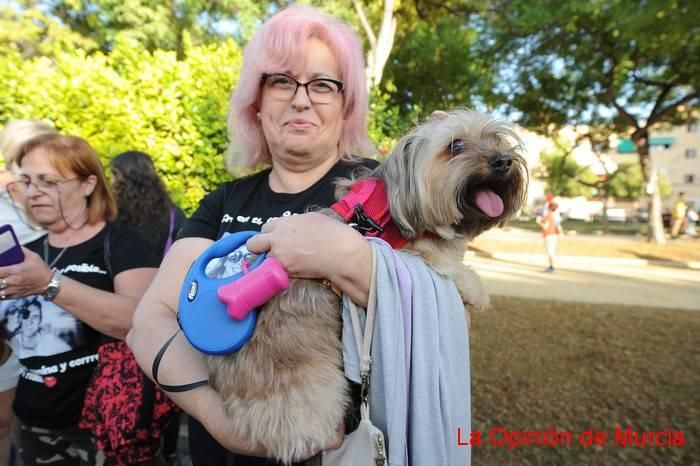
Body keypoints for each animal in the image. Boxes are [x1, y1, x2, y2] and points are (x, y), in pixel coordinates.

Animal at [205, 108, 528, 462]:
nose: (502, 161)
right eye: (455, 145)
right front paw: (476, 288)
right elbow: (445, 261)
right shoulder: (414, 248)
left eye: (496, 139)